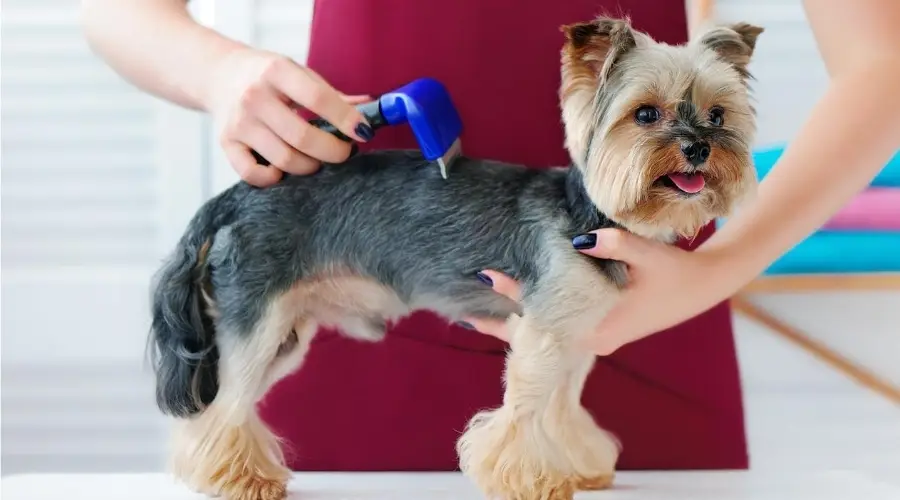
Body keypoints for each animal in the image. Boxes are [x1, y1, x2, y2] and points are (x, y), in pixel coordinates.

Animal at [151, 14, 764, 500]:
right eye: (645, 115)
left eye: (717, 116)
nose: (698, 147)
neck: (591, 218)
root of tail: (230, 198)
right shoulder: (543, 333)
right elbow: (525, 407)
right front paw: (531, 479)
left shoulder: (578, 342)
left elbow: (563, 407)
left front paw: (579, 463)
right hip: (258, 316)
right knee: (226, 404)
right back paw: (240, 478)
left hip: (286, 331)